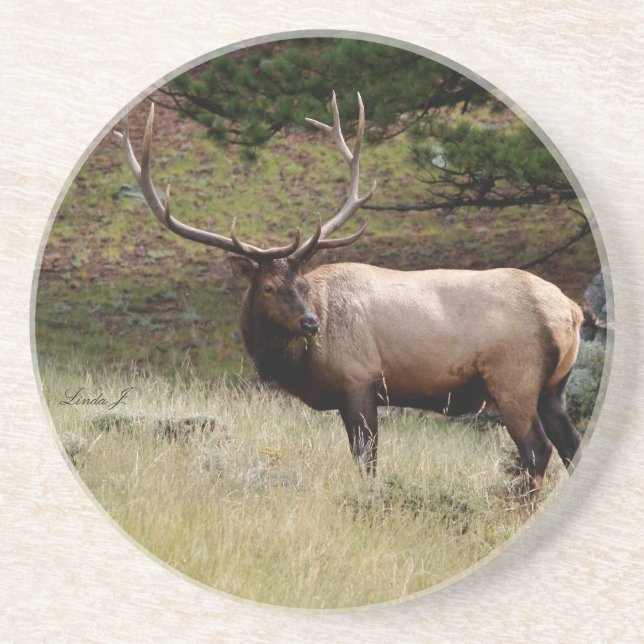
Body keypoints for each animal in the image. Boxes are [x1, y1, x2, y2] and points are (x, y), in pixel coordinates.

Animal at [115, 92, 583, 504]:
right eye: (269, 287)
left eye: (303, 284)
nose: (311, 323)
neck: (297, 364)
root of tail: (573, 312)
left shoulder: (359, 380)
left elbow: (367, 461)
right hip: (553, 388)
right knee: (571, 445)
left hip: (513, 379)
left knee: (537, 450)